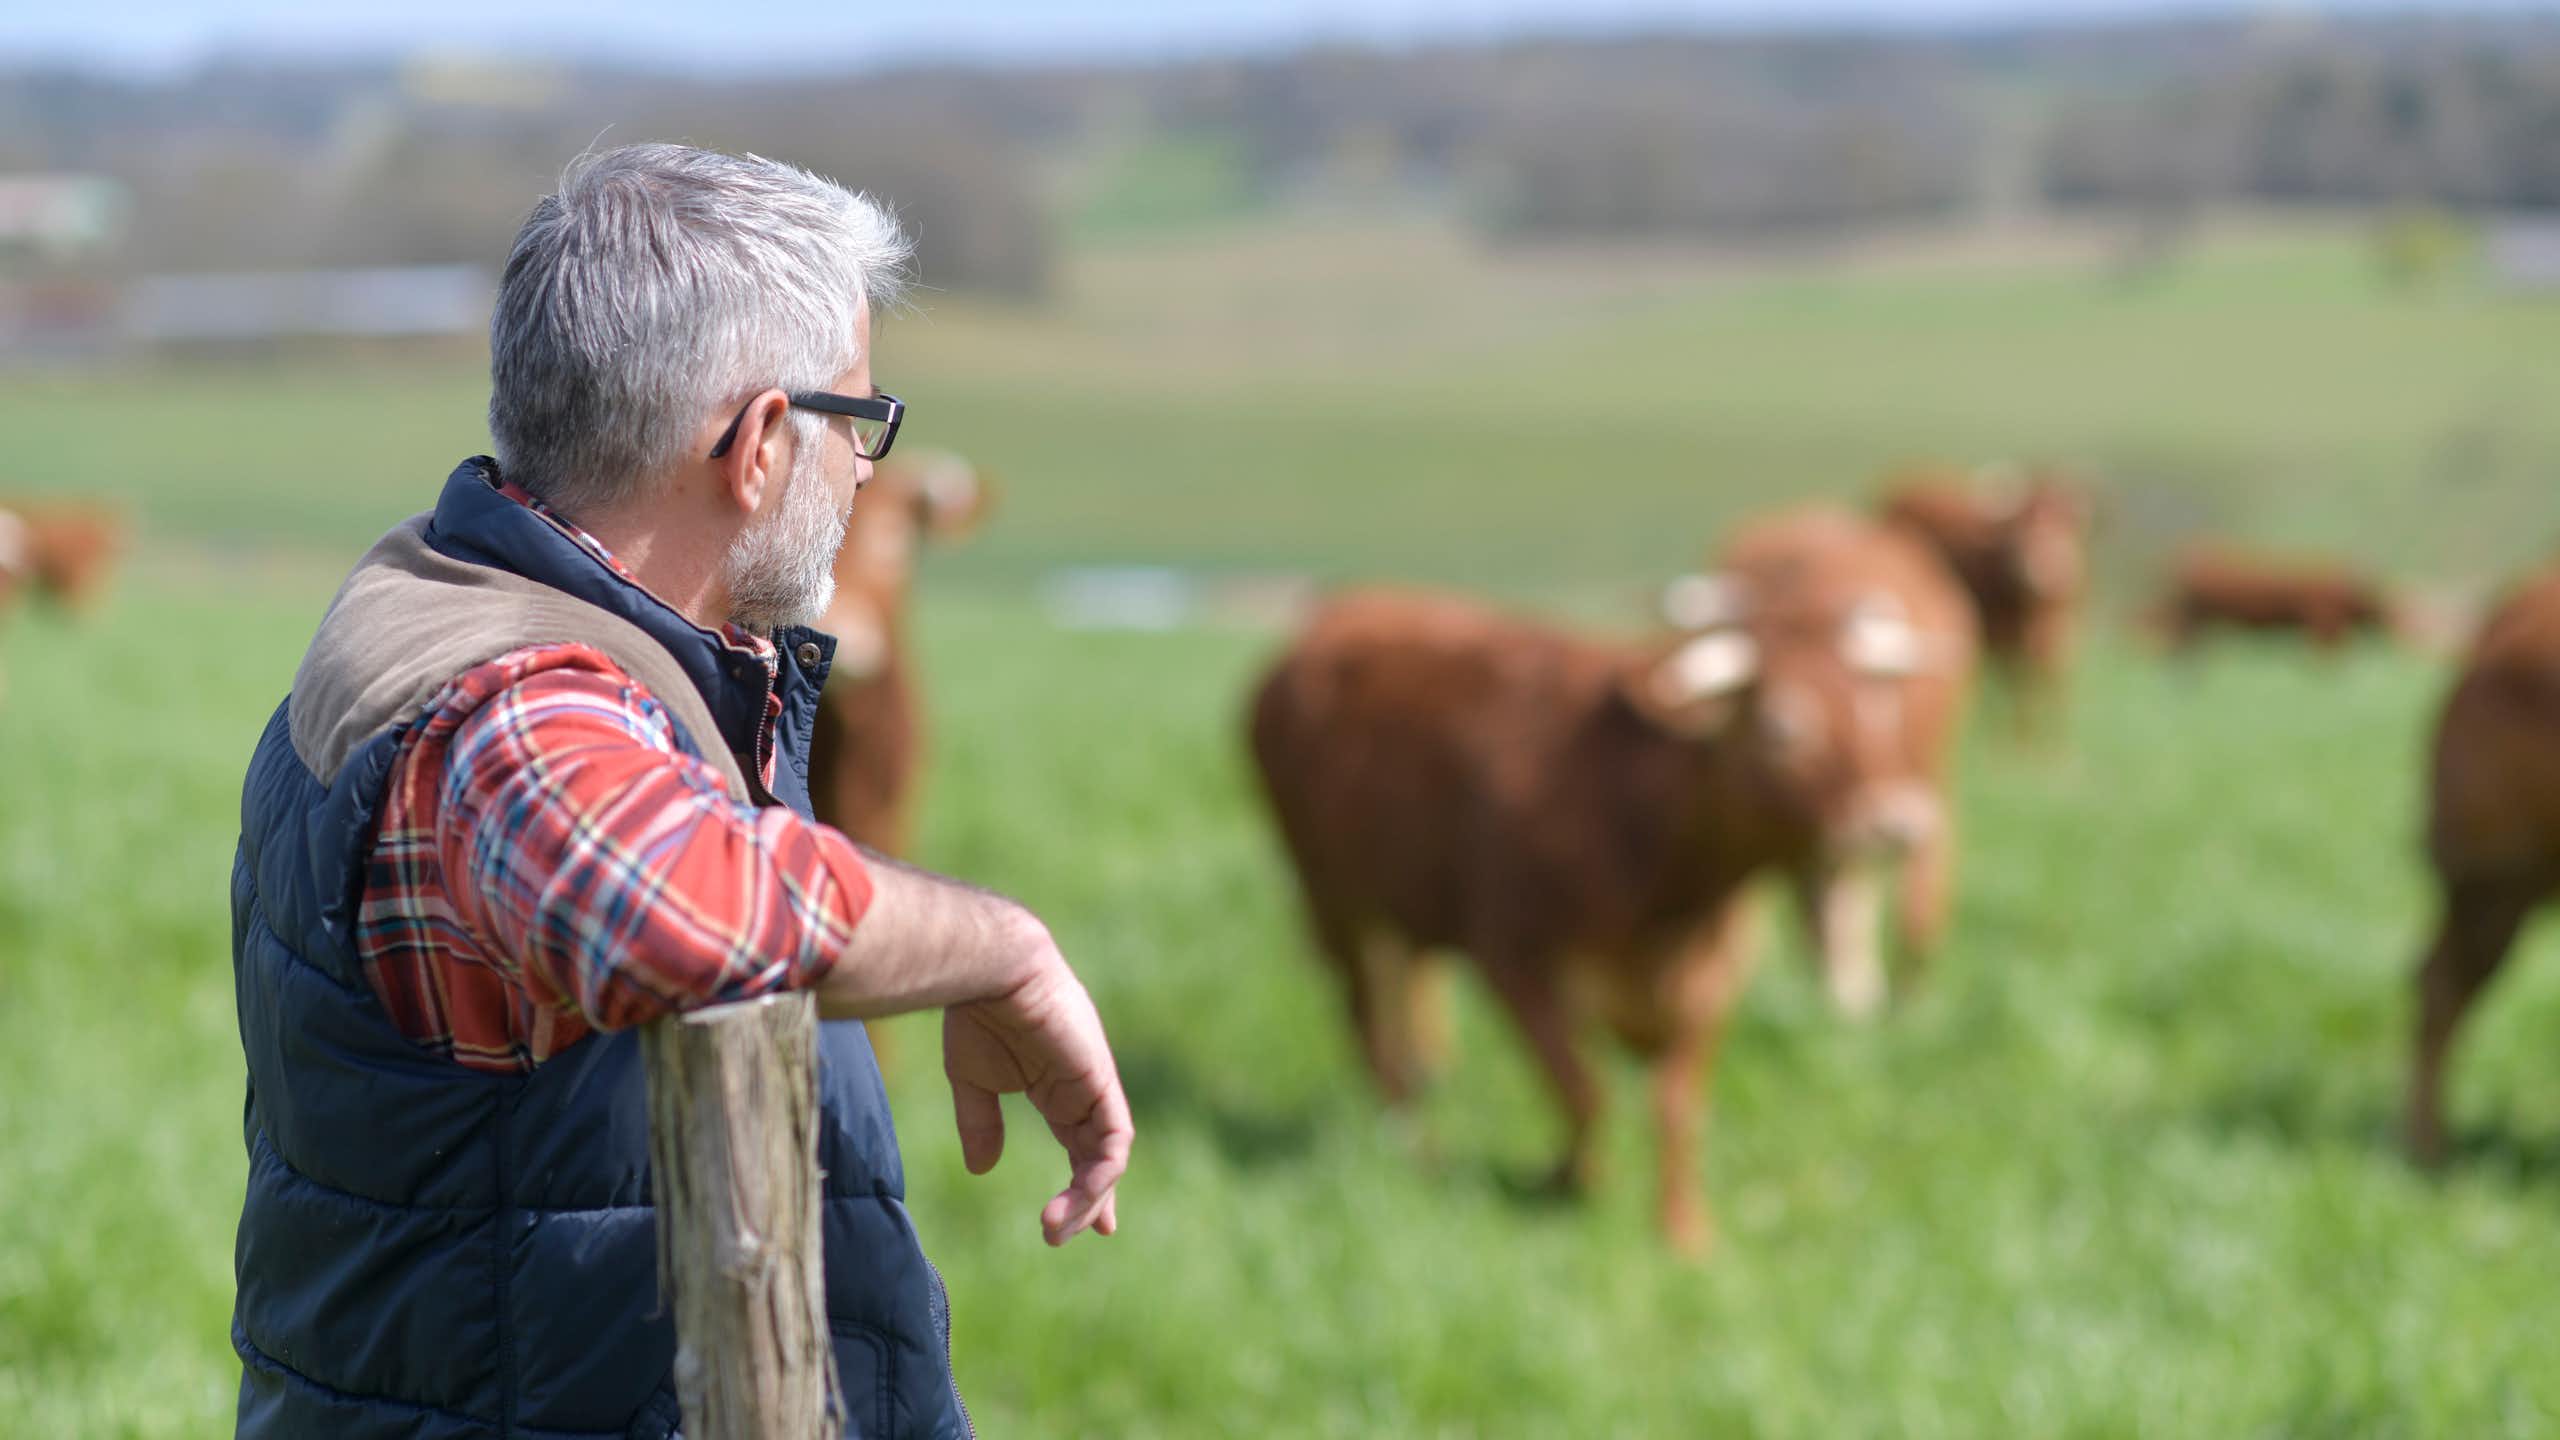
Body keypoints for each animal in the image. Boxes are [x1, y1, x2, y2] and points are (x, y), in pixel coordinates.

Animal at [1246, 509, 1974, 1254]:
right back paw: (1413, 1144)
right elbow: (1581, 1088)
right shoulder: (1515, 958)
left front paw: (1684, 1230)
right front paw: (1572, 1182)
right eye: (1781, 727)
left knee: (1409, 982)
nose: (1900, 820)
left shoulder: (1713, 977)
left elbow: (1677, 1105)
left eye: (1881, 709)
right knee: (1364, 1019)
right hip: (1326, 893)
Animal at [1879, 462, 2091, 740]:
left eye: (2066, 525)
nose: (2039, 570)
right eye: (2020, 525)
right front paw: (2022, 738)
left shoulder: (2061, 638)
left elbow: (2054, 686)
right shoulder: (2007, 642)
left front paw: (2057, 742)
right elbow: (2023, 689)